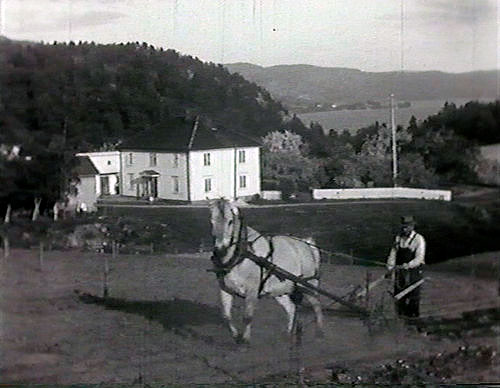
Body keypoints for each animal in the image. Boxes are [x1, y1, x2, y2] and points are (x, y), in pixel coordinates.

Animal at [208, 199, 322, 344]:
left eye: (230, 221)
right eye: (212, 221)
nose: (220, 249)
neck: (242, 255)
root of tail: (306, 243)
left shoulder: (252, 290)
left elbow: (247, 317)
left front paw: (245, 340)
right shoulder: (225, 289)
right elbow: (226, 316)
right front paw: (236, 336)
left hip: (307, 285)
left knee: (317, 305)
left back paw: (319, 334)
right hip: (281, 290)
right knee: (291, 308)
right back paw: (289, 335)